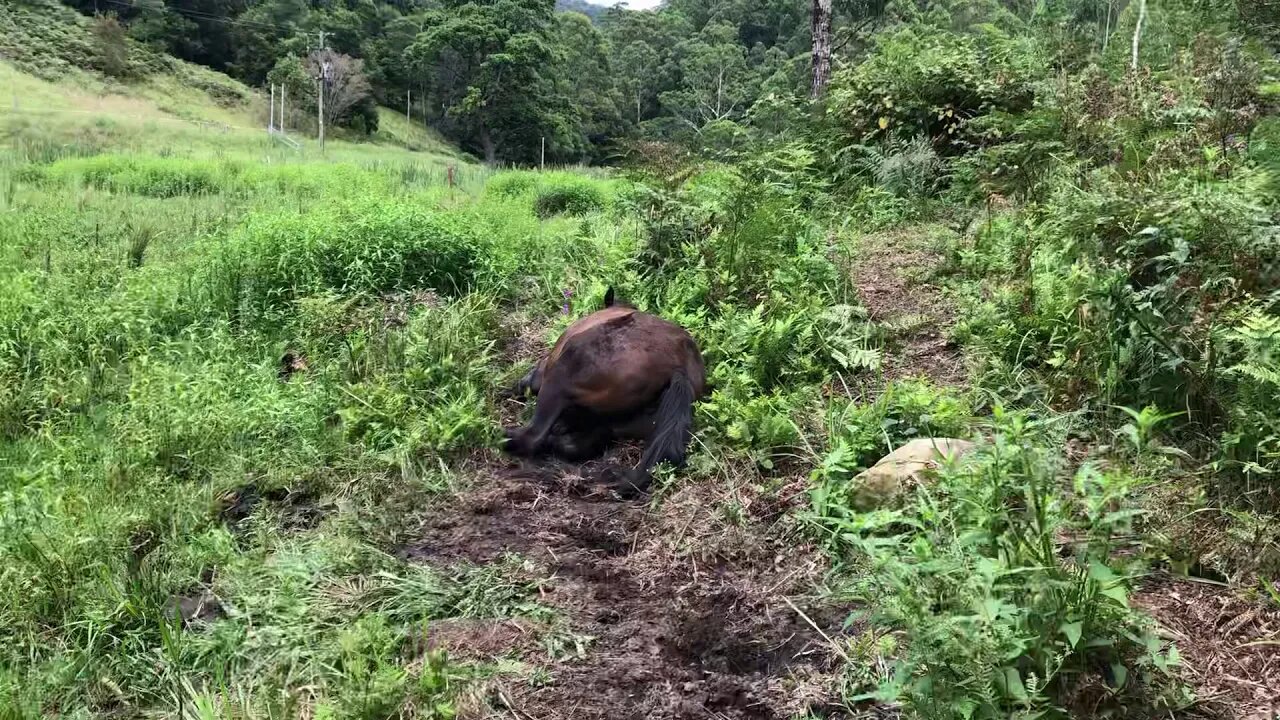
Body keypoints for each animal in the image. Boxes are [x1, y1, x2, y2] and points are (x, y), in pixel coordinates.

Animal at [501, 286, 706, 491]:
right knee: (575, 445)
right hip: (622, 423)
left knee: (533, 437)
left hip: (559, 380)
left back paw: (504, 437)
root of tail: (679, 370)